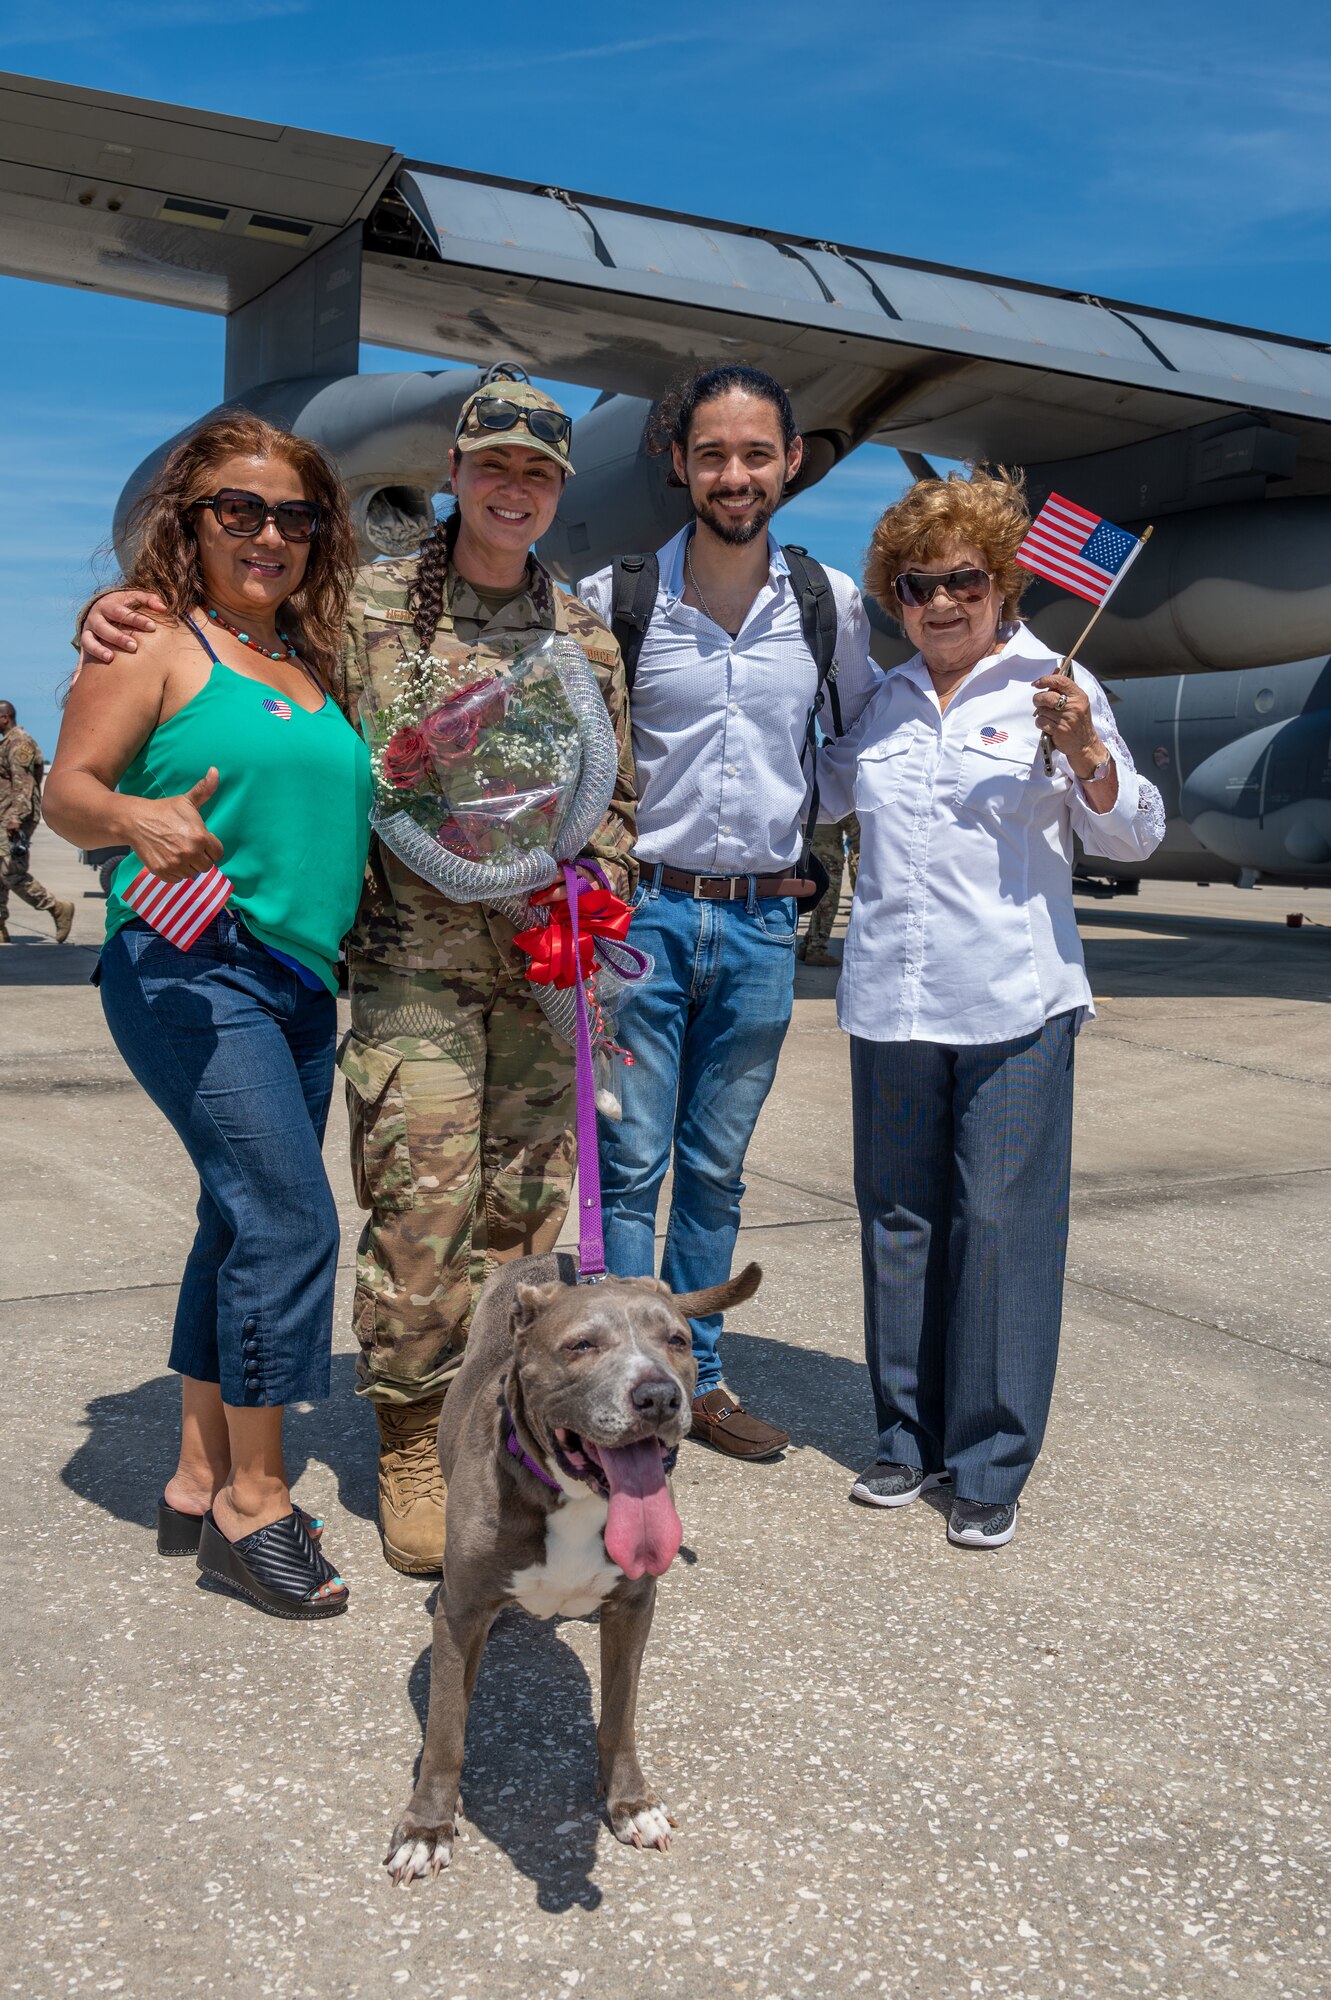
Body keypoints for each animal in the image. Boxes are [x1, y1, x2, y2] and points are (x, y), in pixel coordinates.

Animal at [383, 1240, 755, 1880]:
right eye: (581, 1346)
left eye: (677, 1341)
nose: (659, 1396)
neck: (574, 1496)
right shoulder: (460, 1617)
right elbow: (446, 1731)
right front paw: (427, 1827)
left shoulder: (633, 1608)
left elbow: (620, 1715)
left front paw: (630, 1803)